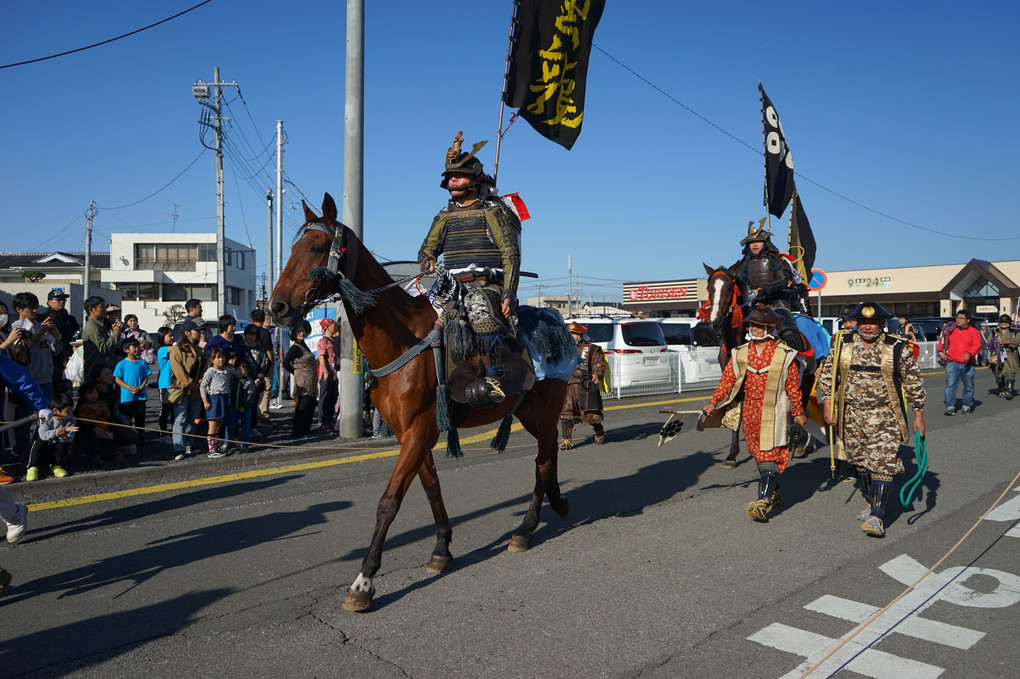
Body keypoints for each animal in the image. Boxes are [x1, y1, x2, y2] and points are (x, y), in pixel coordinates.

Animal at [271, 192, 571, 611]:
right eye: (292, 249)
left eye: (315, 247)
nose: (276, 308)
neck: (402, 342)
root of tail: (560, 324)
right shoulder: (409, 432)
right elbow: (430, 485)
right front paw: (442, 549)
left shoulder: (417, 430)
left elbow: (389, 500)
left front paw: (364, 581)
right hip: (529, 411)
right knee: (550, 454)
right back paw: (557, 503)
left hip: (545, 408)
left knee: (542, 462)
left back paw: (525, 530)